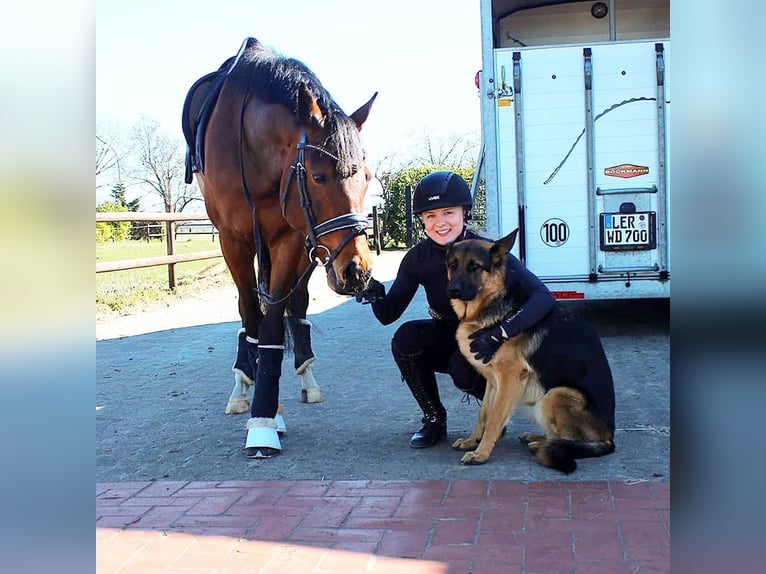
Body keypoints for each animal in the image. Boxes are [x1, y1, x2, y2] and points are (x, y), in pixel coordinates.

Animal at [186, 37, 378, 460]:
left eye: (368, 176)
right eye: (319, 177)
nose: (356, 271)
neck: (249, 148)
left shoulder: (289, 236)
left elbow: (274, 321)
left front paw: (265, 416)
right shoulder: (233, 240)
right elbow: (251, 315)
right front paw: (258, 404)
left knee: (296, 305)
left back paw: (305, 375)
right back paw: (243, 379)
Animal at [444, 232, 616, 474]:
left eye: (474, 266)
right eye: (453, 265)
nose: (452, 290)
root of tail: (610, 437)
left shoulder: (510, 378)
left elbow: (494, 418)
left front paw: (481, 454)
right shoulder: (493, 382)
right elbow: (484, 414)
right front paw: (472, 441)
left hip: (555, 394)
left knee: (572, 441)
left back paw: (544, 446)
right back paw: (536, 440)